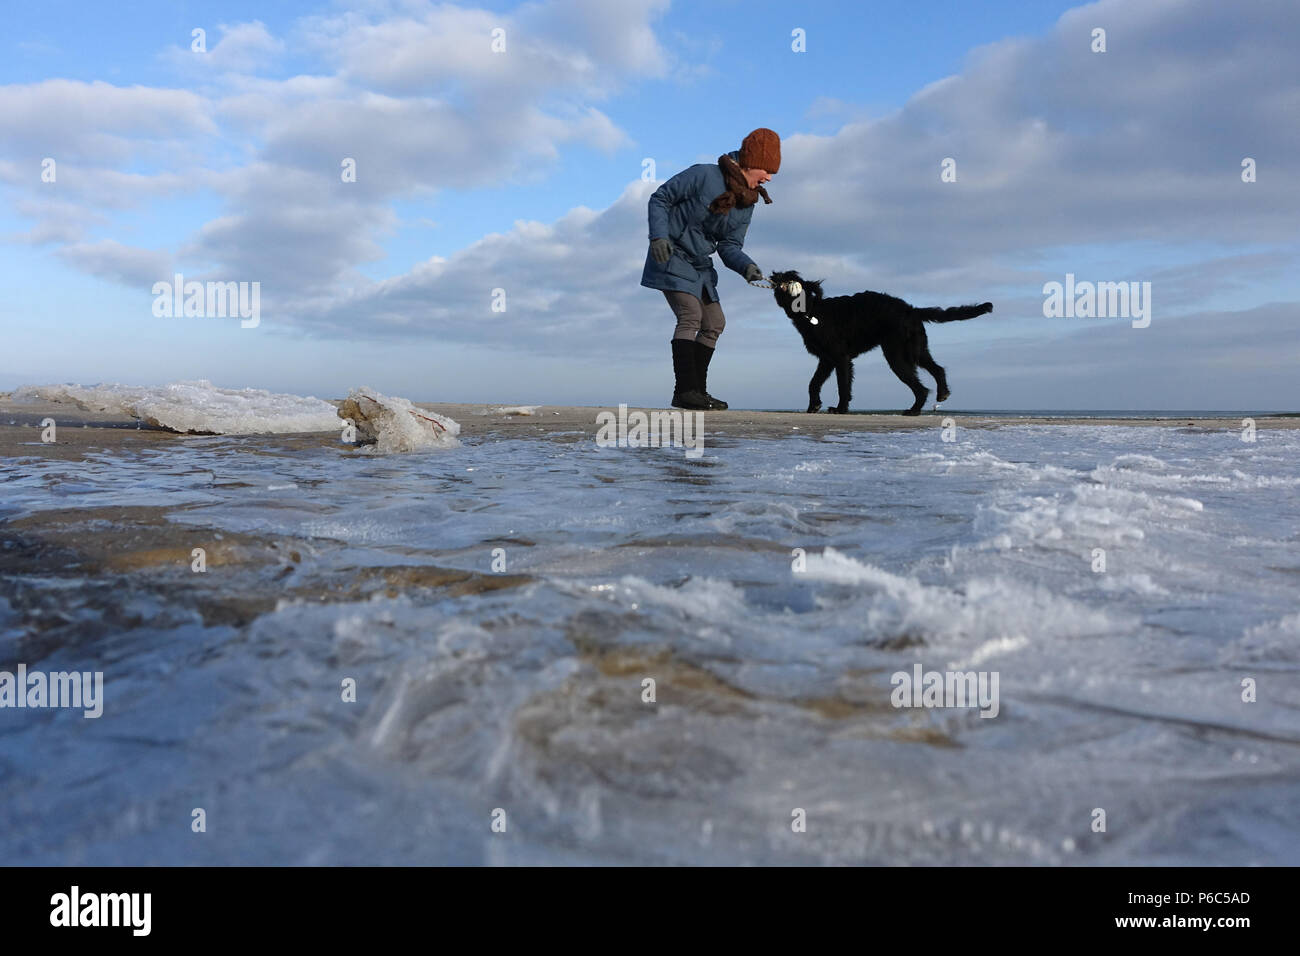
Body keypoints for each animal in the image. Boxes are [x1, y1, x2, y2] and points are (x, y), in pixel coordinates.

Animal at [764, 270, 987, 416]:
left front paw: (840, 409)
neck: (812, 310)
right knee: (937, 369)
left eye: (787, 278)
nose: (774, 275)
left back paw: (914, 410)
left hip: (897, 357)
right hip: (917, 351)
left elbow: (842, 386)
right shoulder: (826, 360)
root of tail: (912, 310)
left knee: (921, 388)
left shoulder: (840, 358)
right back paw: (942, 393)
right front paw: (813, 407)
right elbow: (813, 383)